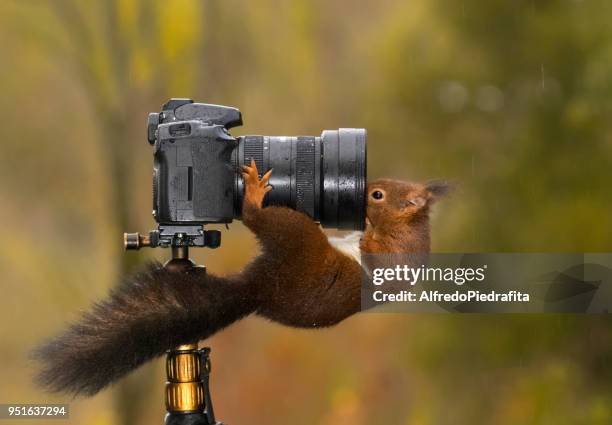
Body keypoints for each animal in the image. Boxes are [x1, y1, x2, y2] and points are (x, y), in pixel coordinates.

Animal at [32, 160, 450, 394]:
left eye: (378, 195)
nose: (362, 190)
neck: (409, 228)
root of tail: (258, 288)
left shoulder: (395, 255)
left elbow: (375, 251)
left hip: (296, 237)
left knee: (259, 218)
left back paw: (252, 193)